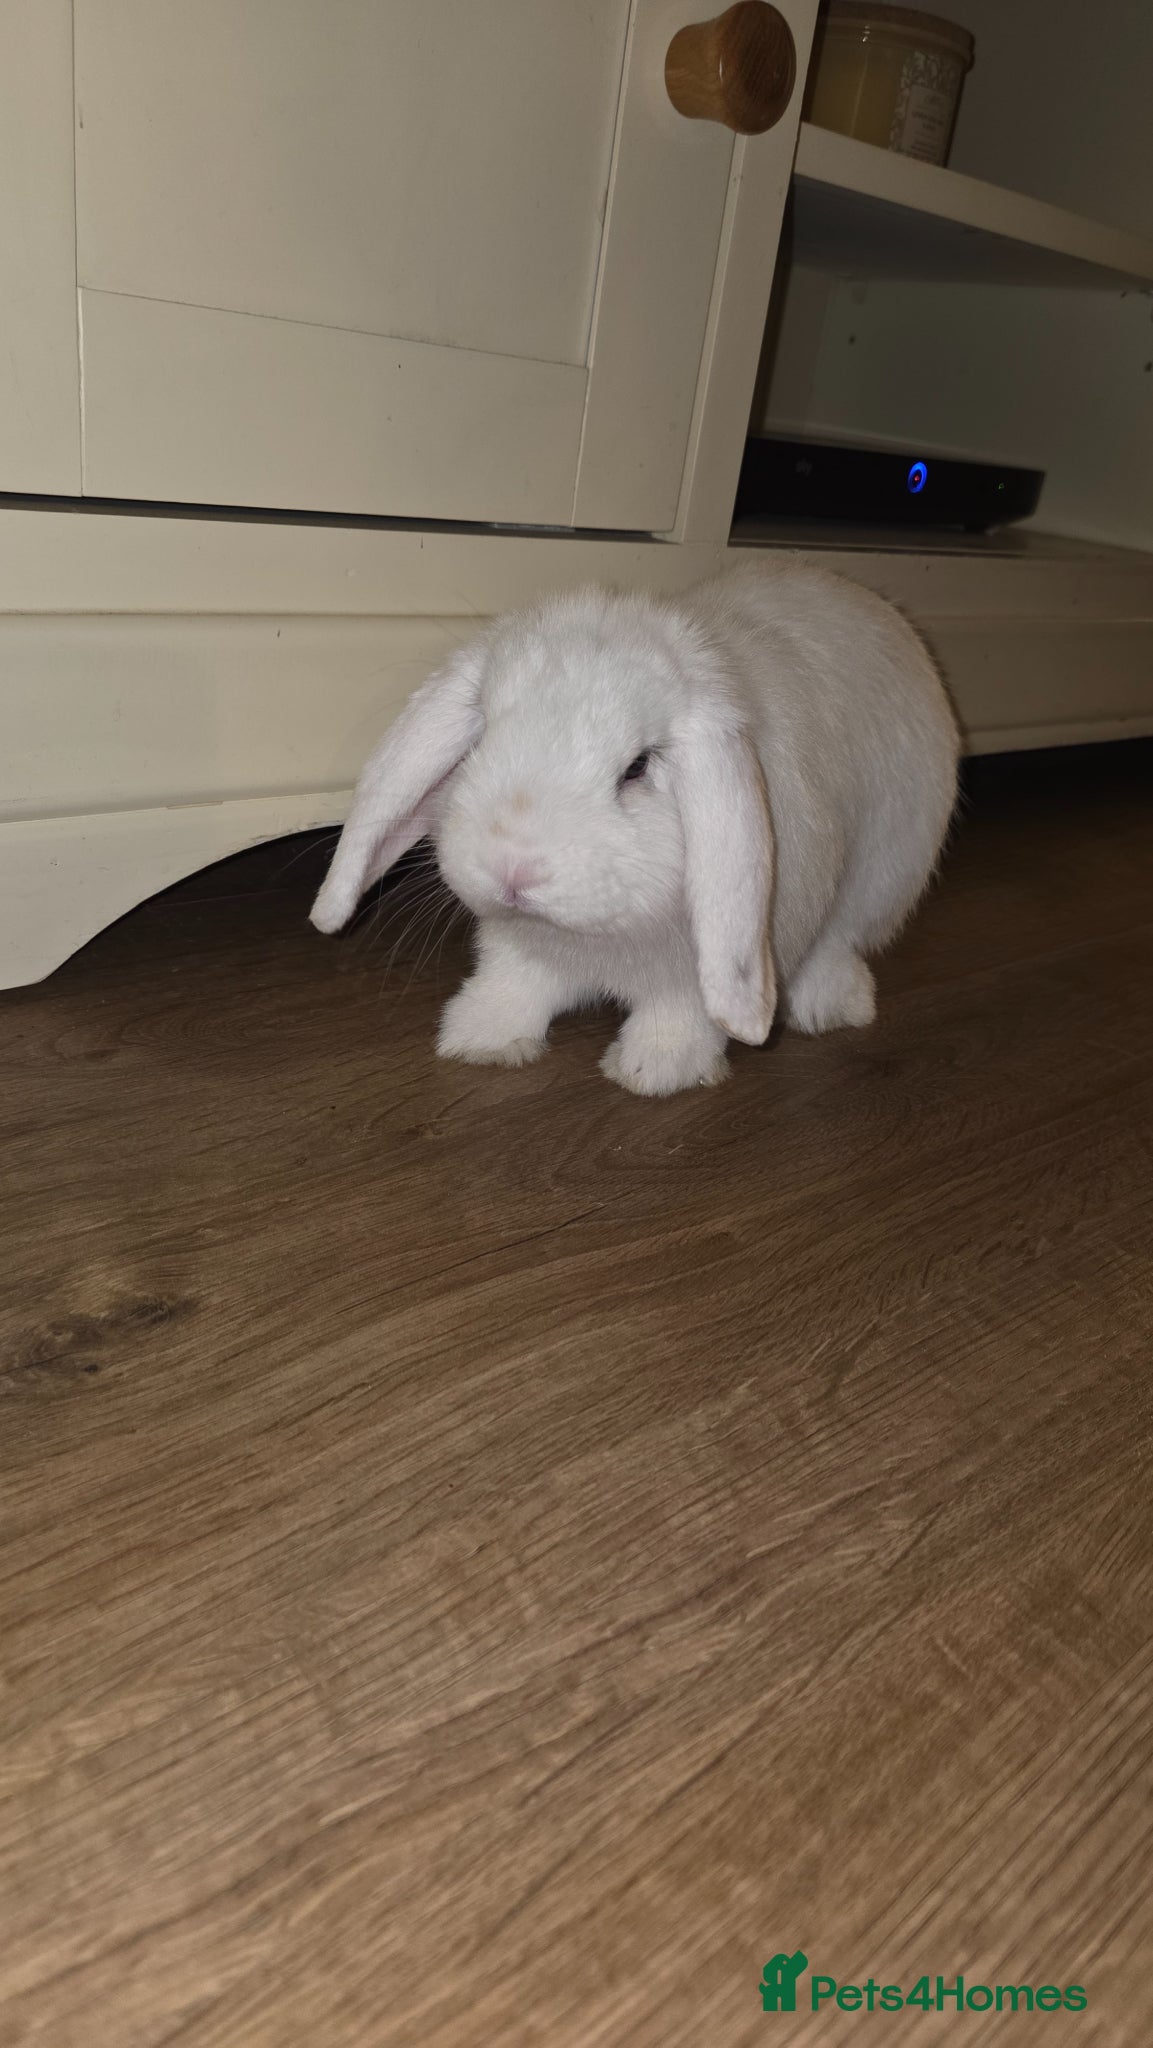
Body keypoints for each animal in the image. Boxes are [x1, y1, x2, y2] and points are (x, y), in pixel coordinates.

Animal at [311, 557, 959, 1096]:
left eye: (638, 767)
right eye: (484, 737)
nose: (512, 868)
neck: (595, 936)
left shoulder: (702, 966)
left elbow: (682, 1012)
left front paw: (653, 1071)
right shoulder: (518, 949)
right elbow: (514, 984)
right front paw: (480, 1039)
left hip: (882, 874)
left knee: (840, 937)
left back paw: (829, 1005)